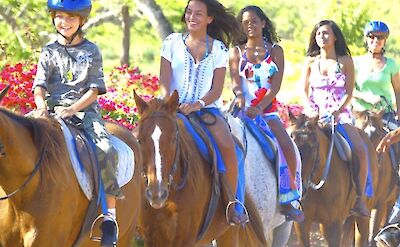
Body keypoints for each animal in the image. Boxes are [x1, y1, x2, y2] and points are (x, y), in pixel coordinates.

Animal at [133, 91, 268, 246]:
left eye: (174, 139)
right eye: (140, 140)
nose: (157, 194)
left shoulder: (185, 239)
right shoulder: (151, 238)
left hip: (228, 232)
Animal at [288, 114, 378, 247]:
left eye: (313, 147)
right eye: (292, 144)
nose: (301, 188)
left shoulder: (333, 226)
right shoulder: (302, 224)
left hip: (362, 218)